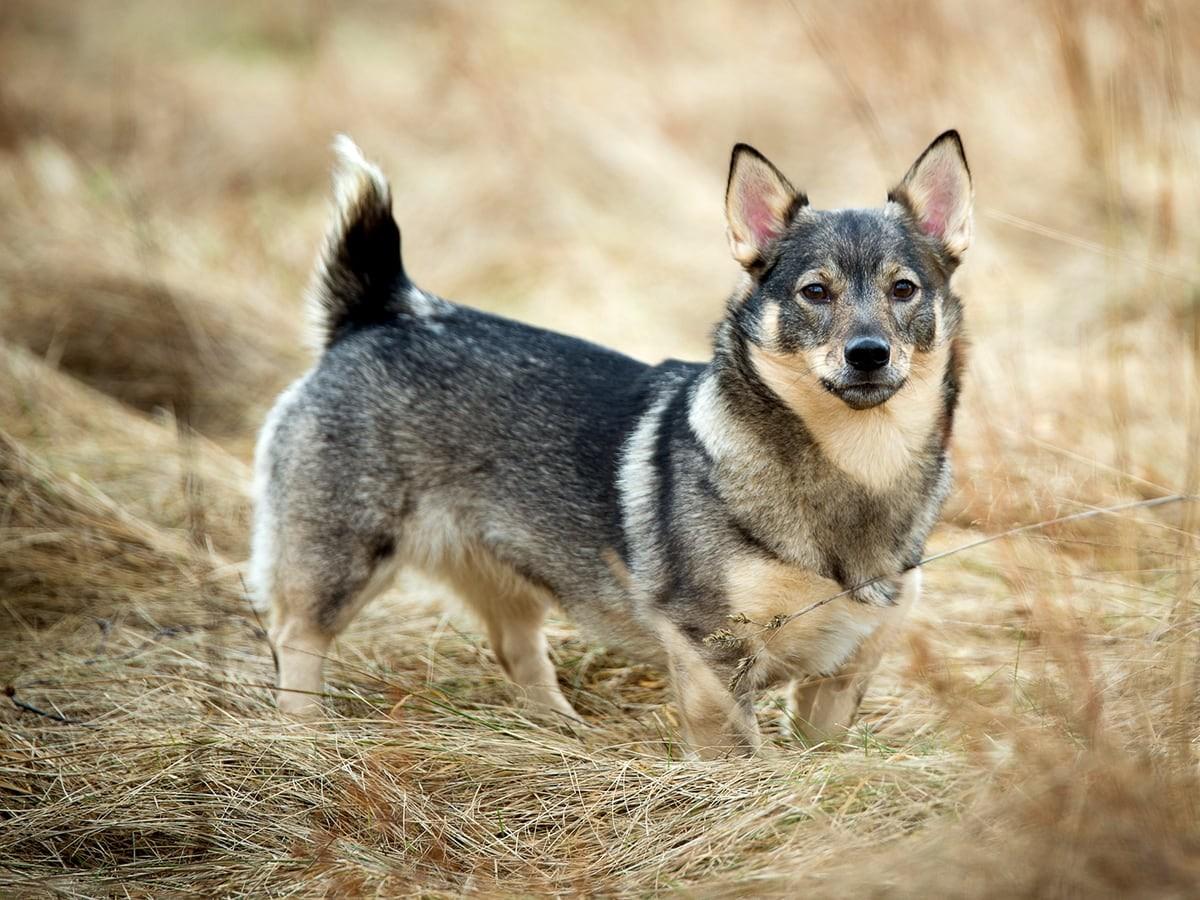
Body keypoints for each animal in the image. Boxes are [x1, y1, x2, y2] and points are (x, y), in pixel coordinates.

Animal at [248, 130, 969, 758]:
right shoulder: (711, 653)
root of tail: (380, 312)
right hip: (341, 559)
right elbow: (736, 756)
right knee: (294, 638)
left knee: (518, 651)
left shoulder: (841, 678)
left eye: (904, 289)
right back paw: (302, 736)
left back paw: (560, 733)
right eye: (815, 292)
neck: (856, 464)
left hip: (505, 576)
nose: (868, 354)